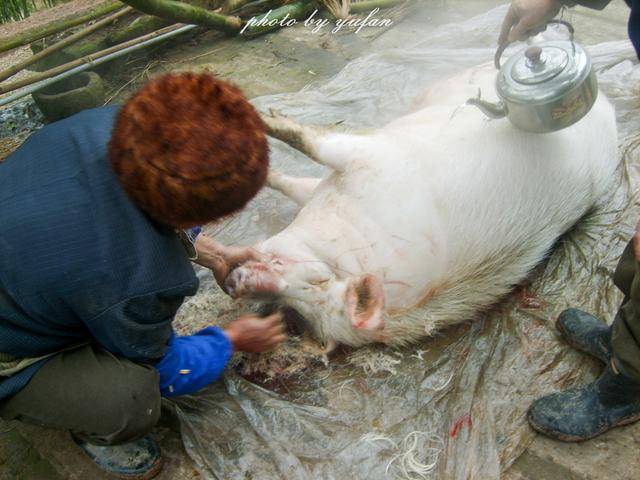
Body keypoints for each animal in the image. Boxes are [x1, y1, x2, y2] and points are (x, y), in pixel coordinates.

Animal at [221, 63, 620, 348]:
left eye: (315, 285)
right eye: (292, 314)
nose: (234, 283)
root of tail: (607, 106)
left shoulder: (374, 159)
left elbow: (316, 143)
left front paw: (266, 117)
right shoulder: (338, 181)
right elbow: (293, 182)